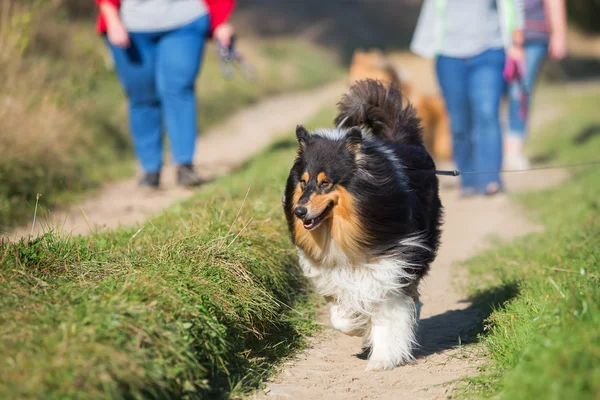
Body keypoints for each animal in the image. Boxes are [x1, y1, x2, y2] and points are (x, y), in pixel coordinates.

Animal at [282, 79, 440, 370]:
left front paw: (383, 358)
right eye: (303, 182)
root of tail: (400, 138)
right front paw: (357, 325)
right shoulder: (335, 274)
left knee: (411, 296)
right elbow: (340, 317)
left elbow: (388, 312)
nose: (299, 211)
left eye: (325, 182)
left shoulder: (391, 264)